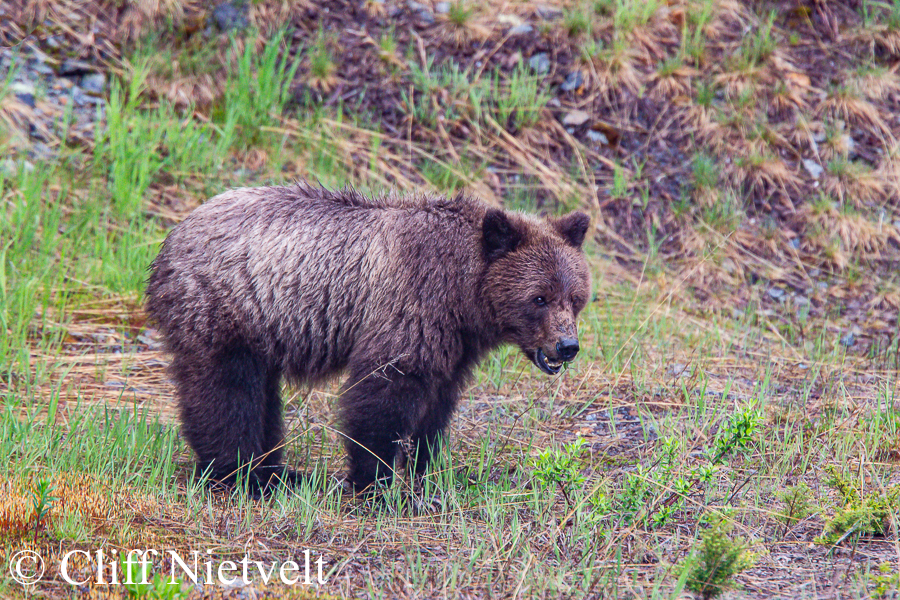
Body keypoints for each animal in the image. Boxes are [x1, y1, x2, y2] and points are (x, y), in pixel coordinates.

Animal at [146, 183, 592, 492]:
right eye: (539, 297)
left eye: (575, 297)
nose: (567, 347)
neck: (464, 294)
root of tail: (173, 236)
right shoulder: (411, 304)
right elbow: (384, 394)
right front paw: (374, 481)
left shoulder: (455, 342)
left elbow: (437, 405)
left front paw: (423, 469)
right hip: (226, 307)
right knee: (225, 390)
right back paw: (239, 475)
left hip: (264, 328)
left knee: (262, 395)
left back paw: (277, 471)